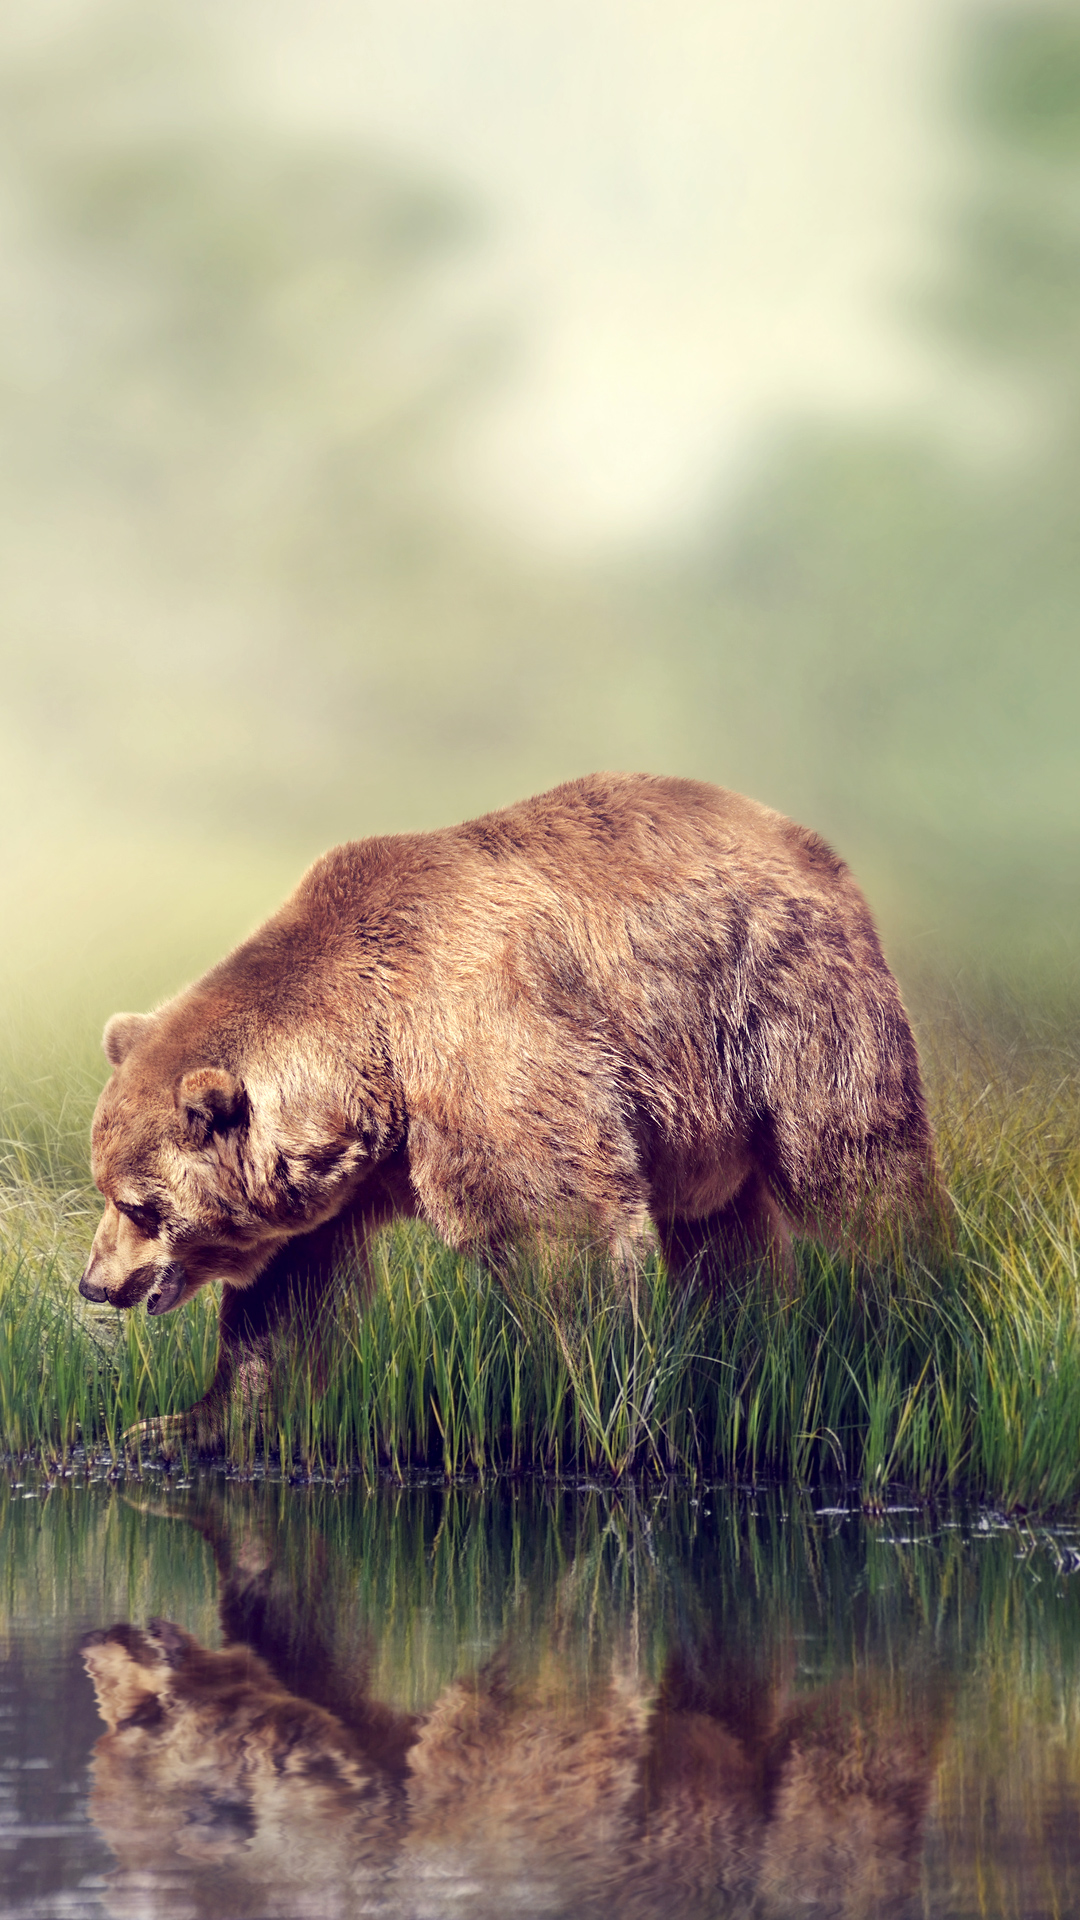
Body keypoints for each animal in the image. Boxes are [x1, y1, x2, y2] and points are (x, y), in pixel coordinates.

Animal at [78, 772, 948, 1447]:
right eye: (104, 1189)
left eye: (139, 1205)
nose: (95, 1282)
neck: (372, 1069)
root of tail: (806, 839)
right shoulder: (343, 1186)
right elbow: (284, 1306)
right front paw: (179, 1424)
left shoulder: (489, 1047)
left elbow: (560, 1229)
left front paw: (575, 1396)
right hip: (701, 1108)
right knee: (721, 1232)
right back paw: (743, 1346)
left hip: (783, 1007)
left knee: (857, 1176)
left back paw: (903, 1317)